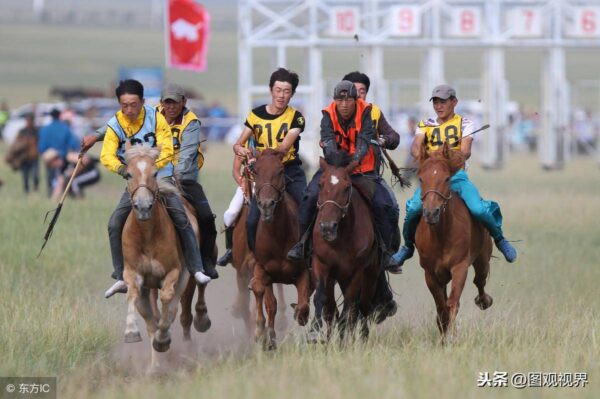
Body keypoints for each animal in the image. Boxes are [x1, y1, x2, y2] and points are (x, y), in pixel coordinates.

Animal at [250, 149, 312, 350]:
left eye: (279, 171)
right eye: (255, 170)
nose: (266, 205)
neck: (277, 235)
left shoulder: (303, 272)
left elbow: (303, 305)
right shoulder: (263, 269)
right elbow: (261, 292)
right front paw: (261, 334)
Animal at [312, 155, 378, 338]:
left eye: (347, 187)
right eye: (320, 184)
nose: (327, 227)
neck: (341, 238)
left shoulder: (357, 272)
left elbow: (348, 309)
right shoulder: (322, 265)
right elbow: (324, 303)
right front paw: (316, 333)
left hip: (370, 274)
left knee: (363, 307)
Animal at [414, 142, 494, 342]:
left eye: (446, 178)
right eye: (421, 179)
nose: (431, 213)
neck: (440, 236)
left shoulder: (459, 267)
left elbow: (452, 304)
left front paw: (451, 337)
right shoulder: (430, 273)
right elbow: (441, 308)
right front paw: (445, 337)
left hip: (482, 260)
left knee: (480, 280)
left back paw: (484, 300)